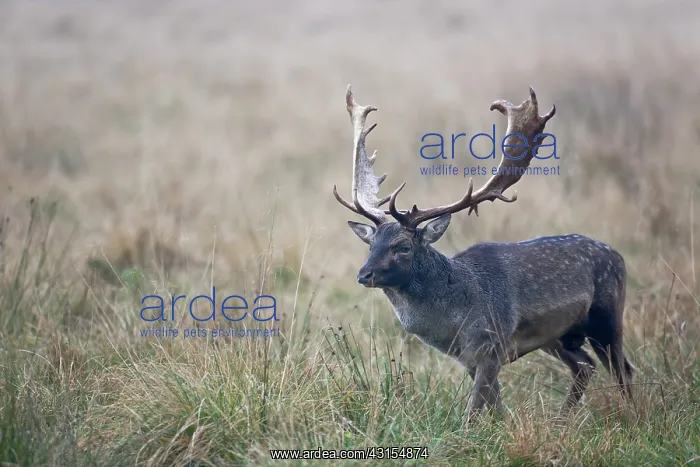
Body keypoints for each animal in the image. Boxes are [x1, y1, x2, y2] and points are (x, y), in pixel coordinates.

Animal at [332, 85, 635, 422]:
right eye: (371, 245)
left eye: (404, 246)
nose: (364, 274)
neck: (453, 323)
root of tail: (619, 257)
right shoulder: (471, 358)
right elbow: (495, 404)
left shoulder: (491, 345)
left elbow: (474, 408)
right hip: (558, 336)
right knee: (585, 365)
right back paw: (562, 420)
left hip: (607, 315)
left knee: (623, 370)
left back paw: (631, 417)